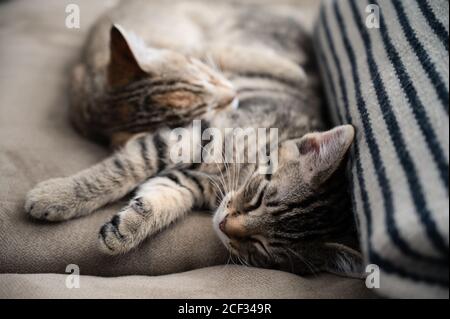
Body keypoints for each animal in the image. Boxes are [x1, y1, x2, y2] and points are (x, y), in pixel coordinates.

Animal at [25, 0, 362, 278]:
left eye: (261, 247)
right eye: (259, 198)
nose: (224, 226)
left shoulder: (191, 181)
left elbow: (161, 198)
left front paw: (127, 228)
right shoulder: (182, 138)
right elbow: (120, 170)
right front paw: (57, 196)